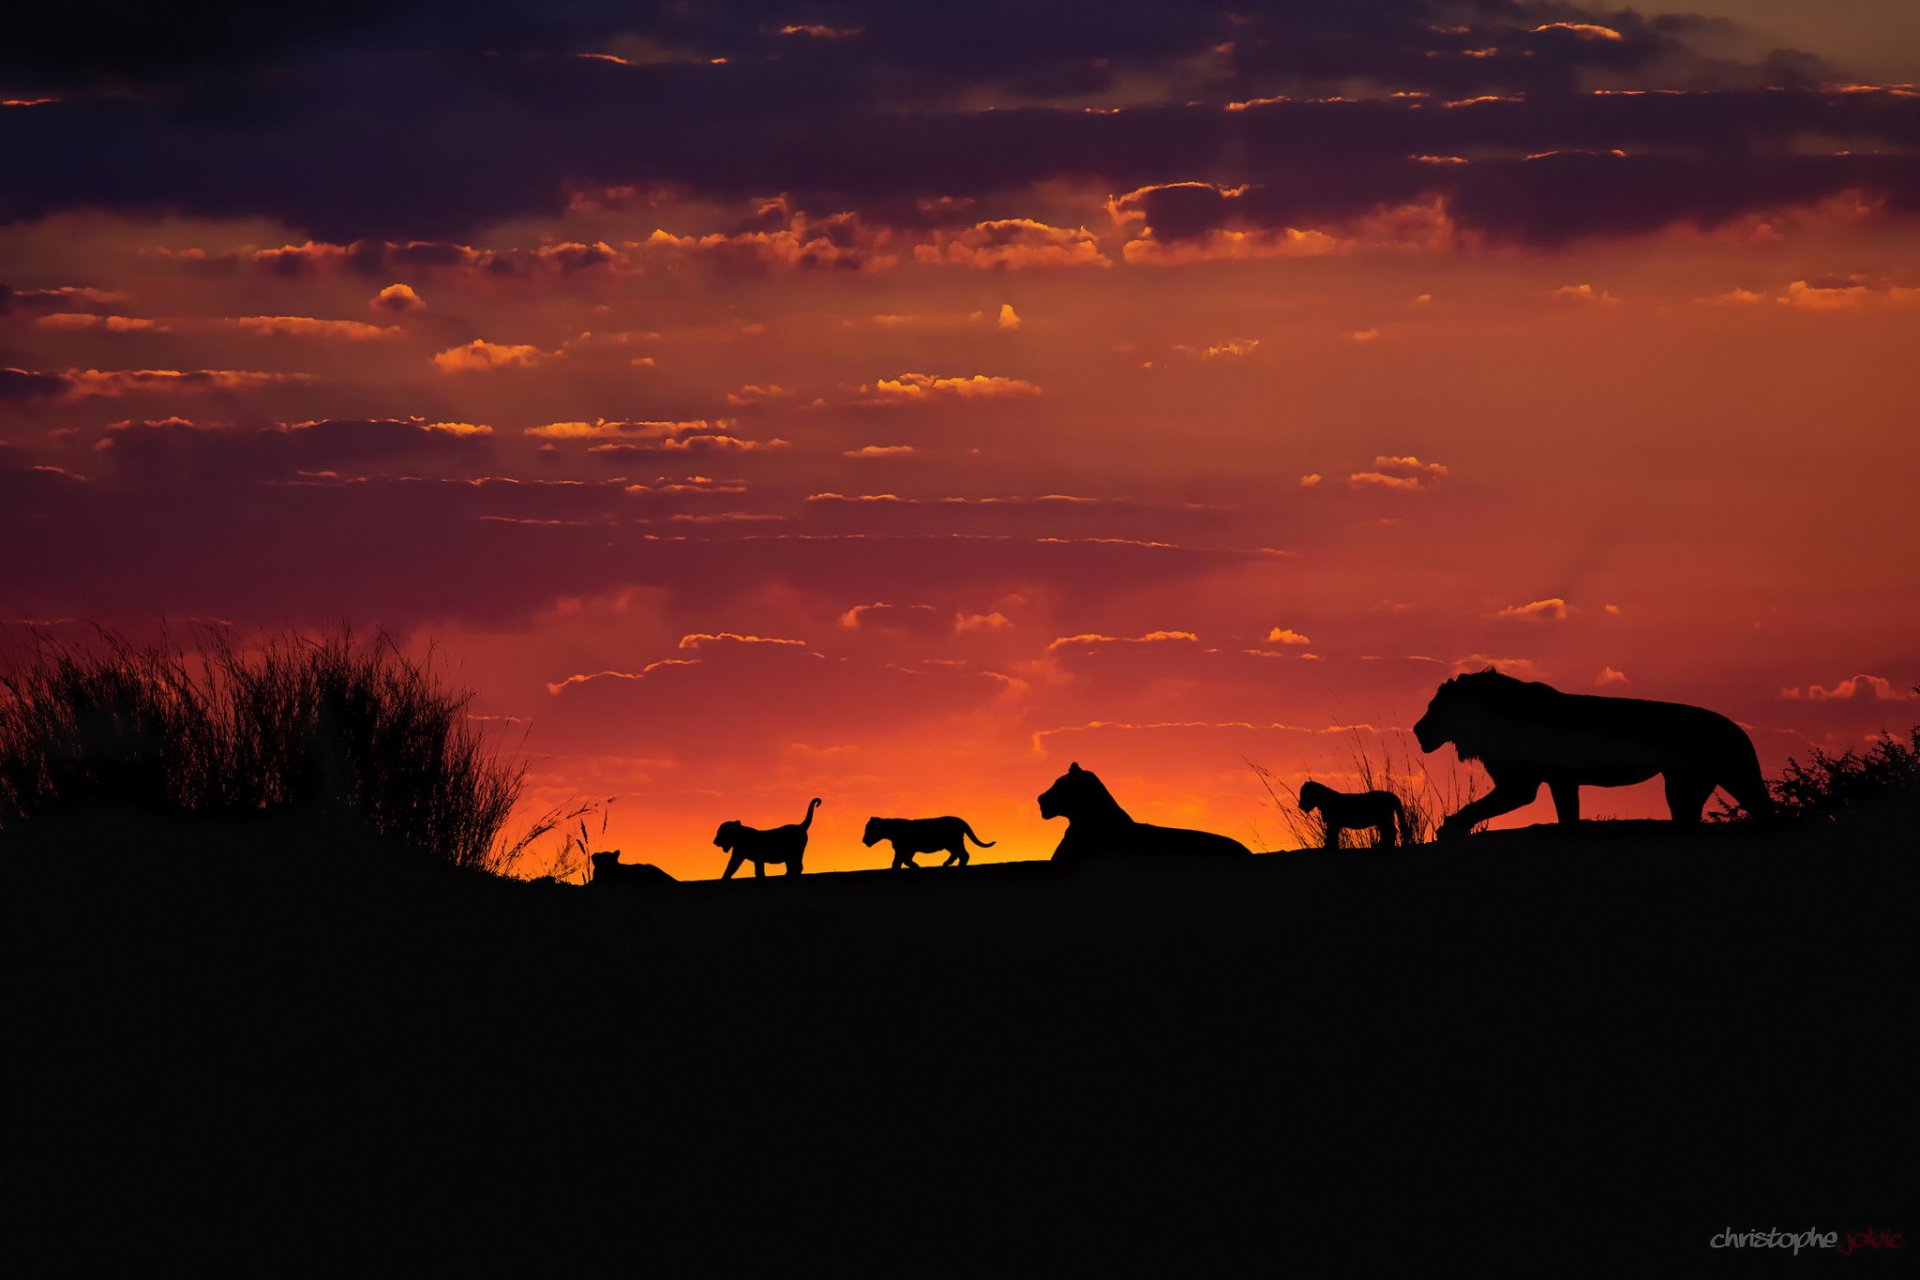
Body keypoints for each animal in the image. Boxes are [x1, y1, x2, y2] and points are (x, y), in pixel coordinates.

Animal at [863, 816, 995, 869]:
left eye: (869, 830)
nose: (863, 840)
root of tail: (959, 820)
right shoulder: (903, 850)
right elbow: (898, 861)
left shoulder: (906, 849)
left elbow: (903, 860)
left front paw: (915, 866)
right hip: (952, 844)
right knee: (958, 854)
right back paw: (947, 863)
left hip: (954, 842)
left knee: (964, 854)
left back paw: (956, 865)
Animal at [1413, 668, 1772, 839]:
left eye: (1435, 707)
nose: (1417, 730)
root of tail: (1736, 728)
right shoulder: (1560, 781)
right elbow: (1568, 816)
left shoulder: (1520, 785)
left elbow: (1477, 807)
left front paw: (1449, 829)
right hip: (1691, 785)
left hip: (1717, 778)